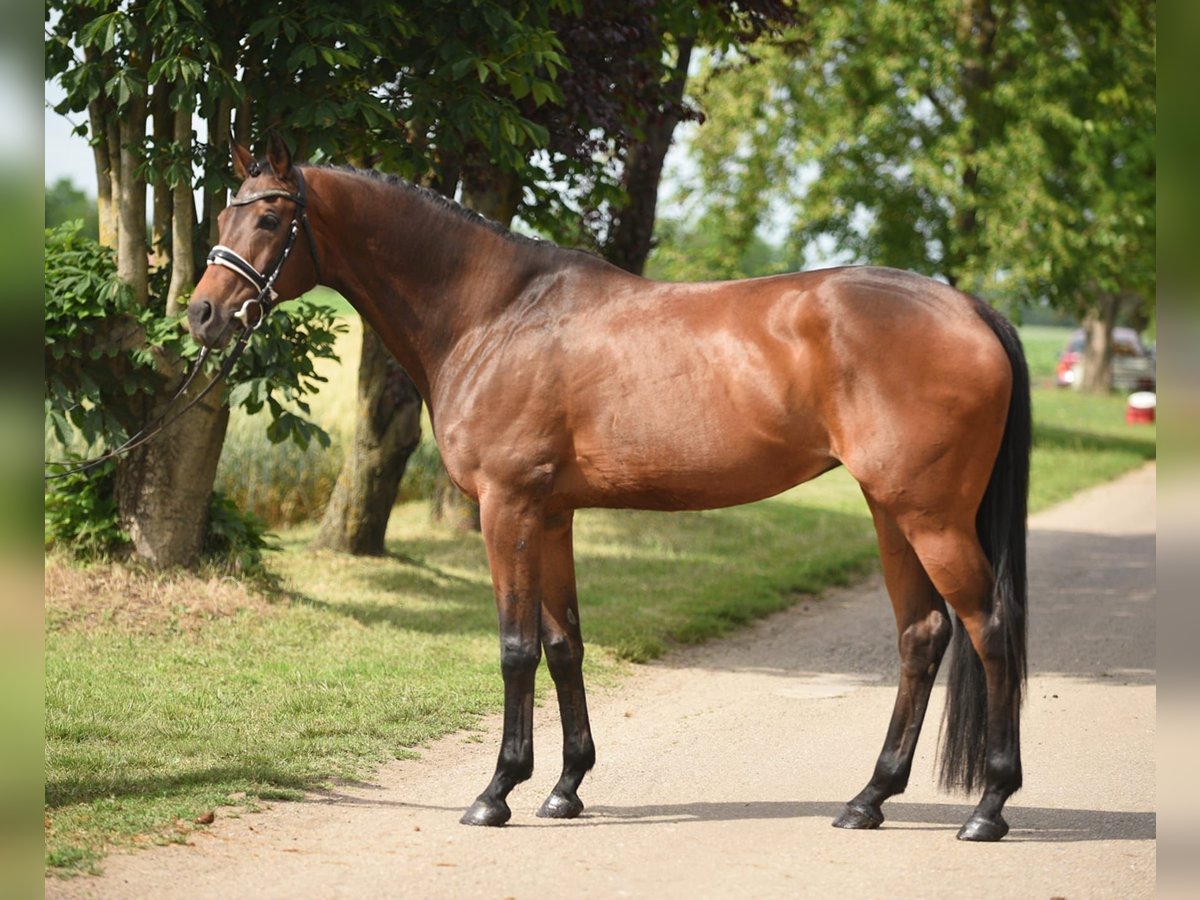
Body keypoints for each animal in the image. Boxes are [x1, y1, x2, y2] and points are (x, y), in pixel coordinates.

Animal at [189, 135, 1032, 844]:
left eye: (270, 215)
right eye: (225, 210)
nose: (202, 314)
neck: (494, 315)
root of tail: (969, 307)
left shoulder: (507, 509)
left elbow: (516, 648)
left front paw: (497, 791)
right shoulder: (552, 515)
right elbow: (565, 645)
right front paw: (565, 787)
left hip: (930, 516)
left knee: (989, 627)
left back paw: (989, 807)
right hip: (891, 511)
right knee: (922, 634)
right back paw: (868, 799)